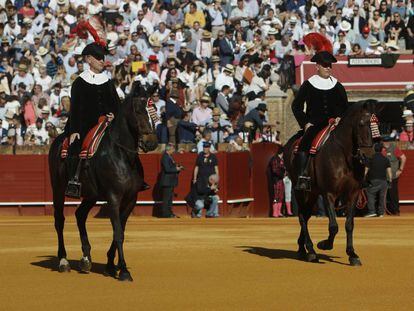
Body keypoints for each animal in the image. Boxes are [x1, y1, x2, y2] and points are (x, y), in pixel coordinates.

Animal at [48, 81, 158, 282]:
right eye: (139, 111)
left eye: (155, 110)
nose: (151, 142)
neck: (122, 154)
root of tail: (59, 139)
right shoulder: (114, 197)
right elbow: (118, 232)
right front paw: (124, 271)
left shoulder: (131, 199)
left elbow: (119, 231)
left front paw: (110, 266)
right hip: (57, 188)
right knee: (59, 220)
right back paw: (63, 261)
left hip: (91, 195)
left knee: (80, 215)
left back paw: (86, 259)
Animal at [284, 101, 382, 266]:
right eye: (361, 123)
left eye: (377, 124)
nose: (368, 155)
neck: (344, 154)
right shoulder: (328, 193)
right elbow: (334, 226)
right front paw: (324, 244)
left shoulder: (353, 194)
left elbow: (349, 224)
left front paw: (352, 254)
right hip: (300, 191)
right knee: (302, 216)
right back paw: (311, 251)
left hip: (312, 193)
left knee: (306, 215)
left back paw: (302, 249)